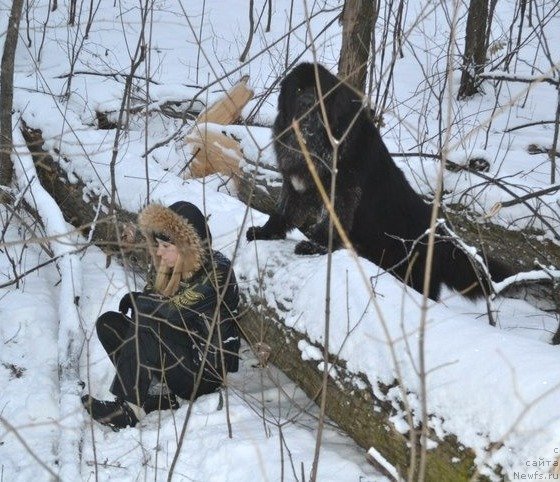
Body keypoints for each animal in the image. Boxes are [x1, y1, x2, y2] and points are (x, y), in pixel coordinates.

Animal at [247, 62, 510, 300]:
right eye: (299, 90)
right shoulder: (296, 185)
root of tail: (441, 239)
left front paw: (316, 246)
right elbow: (282, 212)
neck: (314, 144)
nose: (307, 103)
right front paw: (264, 231)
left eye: (320, 91)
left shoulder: (343, 190)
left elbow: (332, 221)